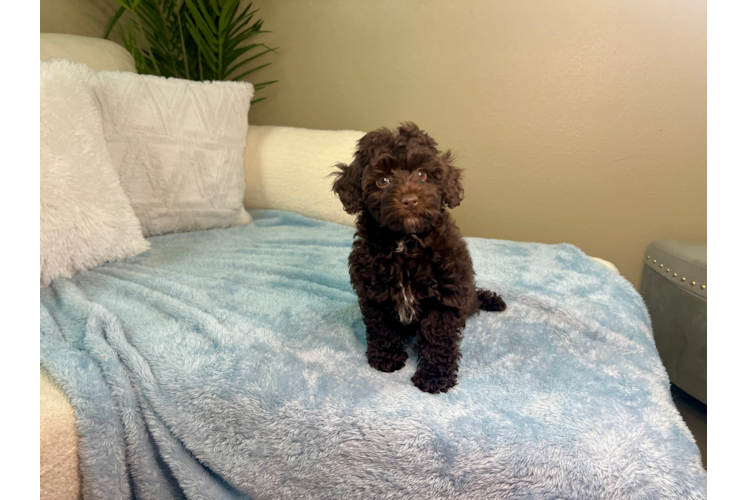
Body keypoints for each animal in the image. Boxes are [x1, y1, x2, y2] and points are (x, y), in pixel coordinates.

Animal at [334, 123, 506, 392]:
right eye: (383, 180)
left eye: (422, 174)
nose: (410, 200)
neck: (405, 243)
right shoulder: (374, 291)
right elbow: (381, 327)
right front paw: (386, 358)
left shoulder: (446, 294)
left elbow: (438, 336)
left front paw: (434, 376)